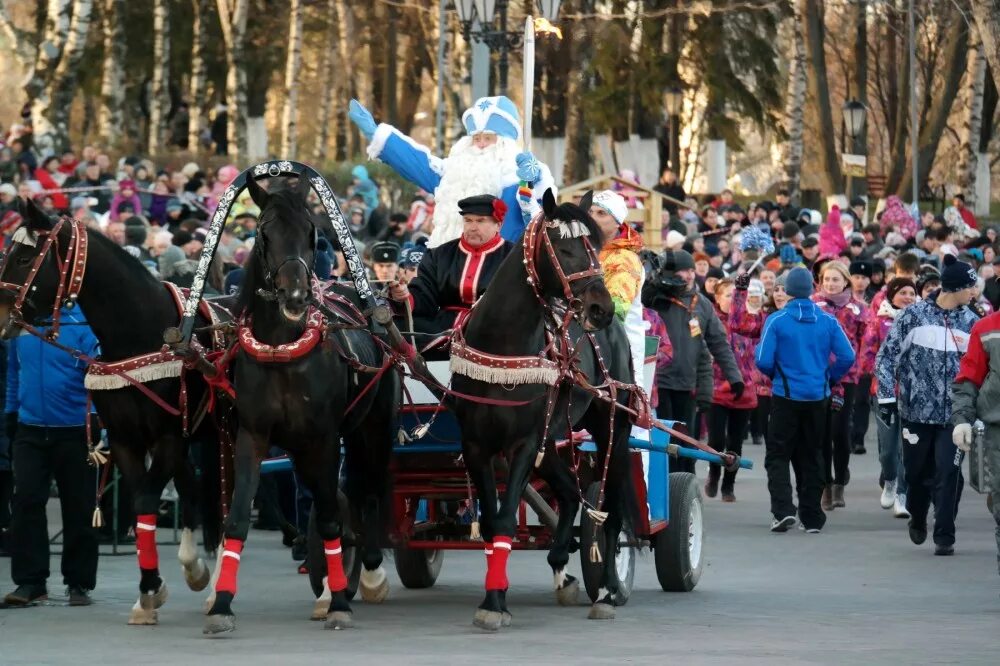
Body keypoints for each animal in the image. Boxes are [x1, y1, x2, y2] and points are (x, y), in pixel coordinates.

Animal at [0, 197, 225, 624]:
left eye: (23, 256)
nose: (2, 316)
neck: (141, 336)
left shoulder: (168, 437)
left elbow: (146, 502)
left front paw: (152, 589)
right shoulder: (127, 440)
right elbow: (141, 508)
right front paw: (150, 591)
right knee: (193, 490)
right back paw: (195, 567)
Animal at [205, 172, 400, 632]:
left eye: (312, 232)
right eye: (263, 233)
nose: (295, 297)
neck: (282, 352)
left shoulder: (324, 437)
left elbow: (330, 515)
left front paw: (340, 602)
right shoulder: (253, 435)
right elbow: (237, 516)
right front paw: (221, 604)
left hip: (374, 427)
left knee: (367, 492)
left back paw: (368, 571)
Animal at [454, 191, 640, 628]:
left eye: (595, 245)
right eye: (564, 247)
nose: (601, 308)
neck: (503, 347)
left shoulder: (522, 444)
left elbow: (506, 517)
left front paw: (494, 602)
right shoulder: (478, 445)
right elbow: (493, 521)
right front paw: (495, 595)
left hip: (611, 428)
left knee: (610, 508)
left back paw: (608, 590)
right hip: (552, 438)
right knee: (571, 495)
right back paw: (560, 565)